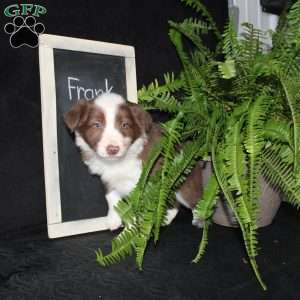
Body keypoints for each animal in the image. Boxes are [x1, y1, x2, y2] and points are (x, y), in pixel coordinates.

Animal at [64, 92, 203, 231]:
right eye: (96, 124)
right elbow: (111, 197)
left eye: (125, 125)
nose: (113, 149)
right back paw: (166, 218)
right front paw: (114, 219)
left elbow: (137, 208)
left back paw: (199, 219)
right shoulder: (107, 178)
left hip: (184, 182)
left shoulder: (146, 183)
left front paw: (132, 229)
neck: (118, 162)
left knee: (195, 199)